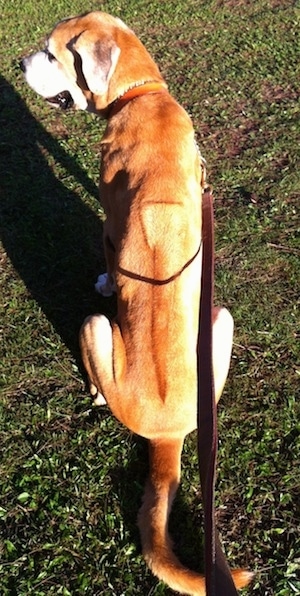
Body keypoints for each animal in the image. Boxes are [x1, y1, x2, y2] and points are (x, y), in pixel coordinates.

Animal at [20, 11, 253, 592]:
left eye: (51, 52)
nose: (17, 61)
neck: (141, 94)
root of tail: (165, 437)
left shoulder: (107, 223)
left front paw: (107, 280)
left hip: (96, 326)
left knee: (95, 363)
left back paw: (97, 393)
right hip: (219, 319)